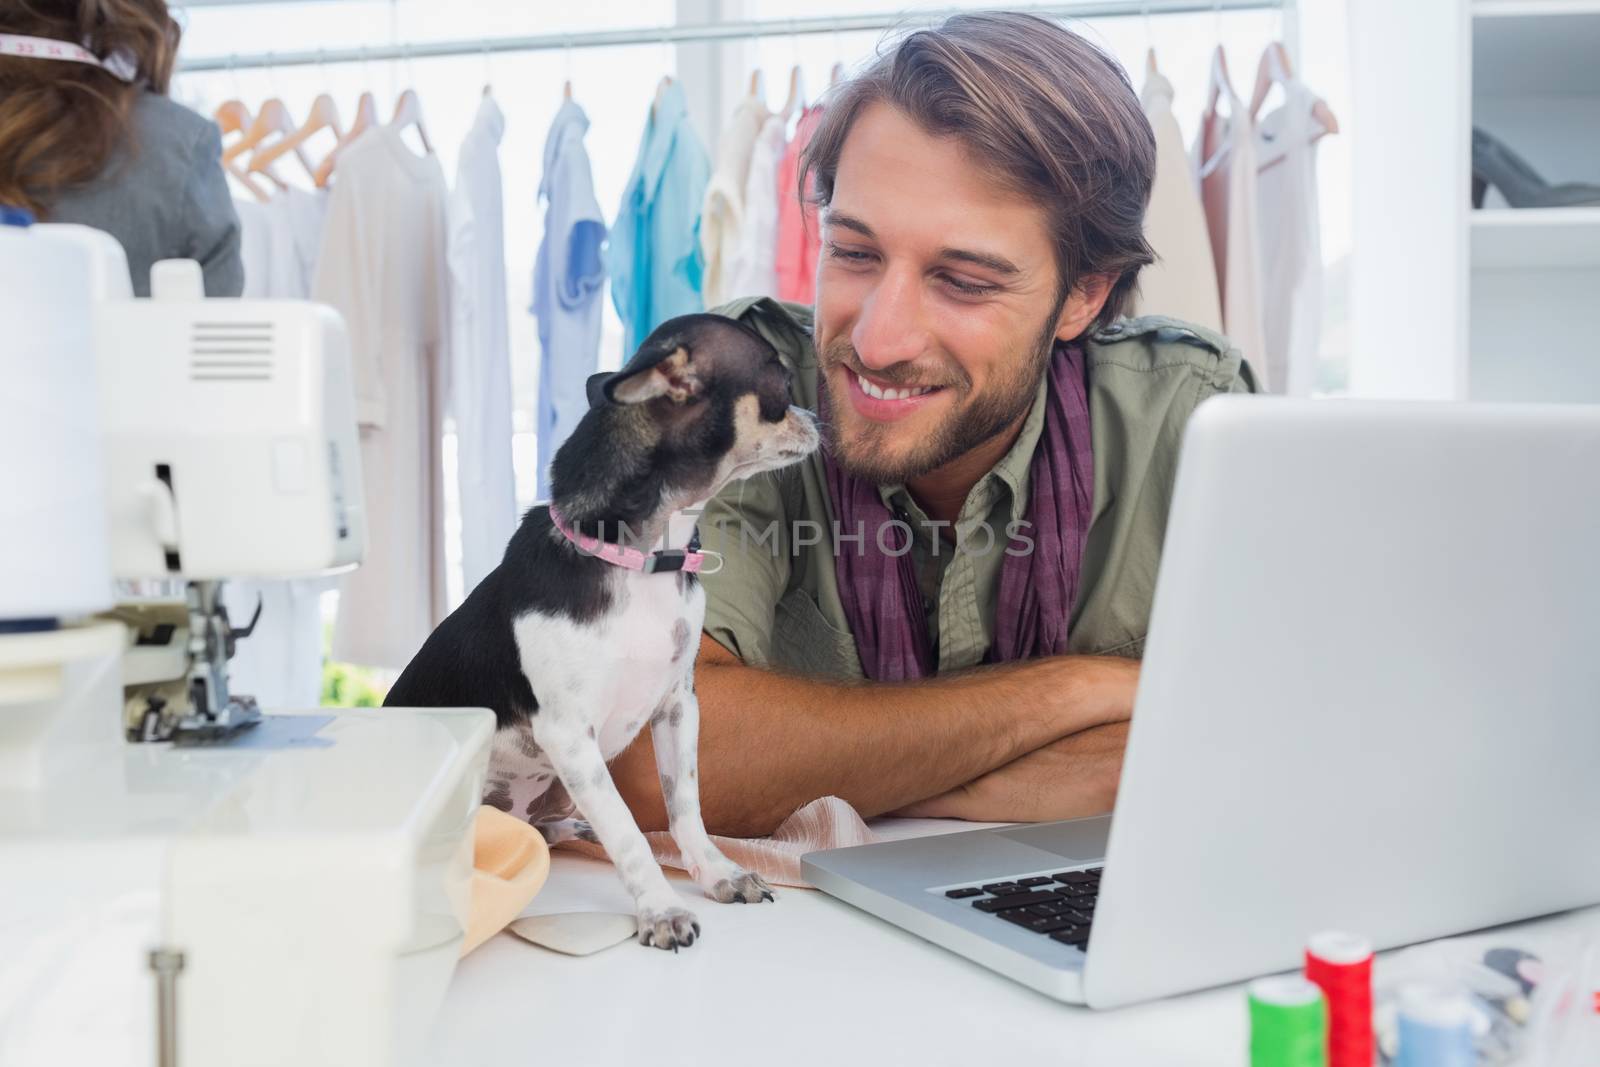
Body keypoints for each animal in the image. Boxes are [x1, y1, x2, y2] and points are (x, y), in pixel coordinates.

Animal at [382, 313, 819, 947]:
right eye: (782, 386)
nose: (817, 417)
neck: (639, 563)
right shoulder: (570, 735)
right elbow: (629, 829)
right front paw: (660, 909)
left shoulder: (677, 707)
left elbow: (684, 806)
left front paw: (716, 873)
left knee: (546, 830)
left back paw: (571, 830)